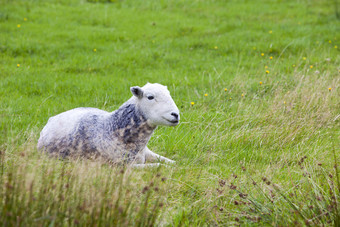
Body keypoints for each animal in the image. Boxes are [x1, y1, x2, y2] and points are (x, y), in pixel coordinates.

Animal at [36, 82, 181, 168]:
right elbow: (159, 166)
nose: (176, 114)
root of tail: (51, 119)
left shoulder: (147, 153)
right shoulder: (122, 166)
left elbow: (172, 162)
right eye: (150, 97)